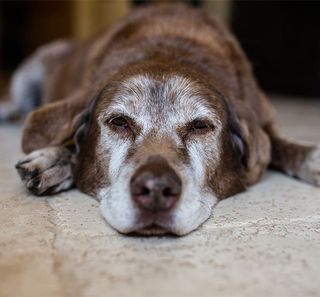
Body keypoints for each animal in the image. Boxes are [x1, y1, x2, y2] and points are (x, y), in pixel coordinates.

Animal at [1, 2, 318, 234]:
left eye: (200, 126)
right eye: (119, 122)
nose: (155, 189)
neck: (169, 51)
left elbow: (281, 145)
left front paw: (312, 158)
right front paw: (55, 158)